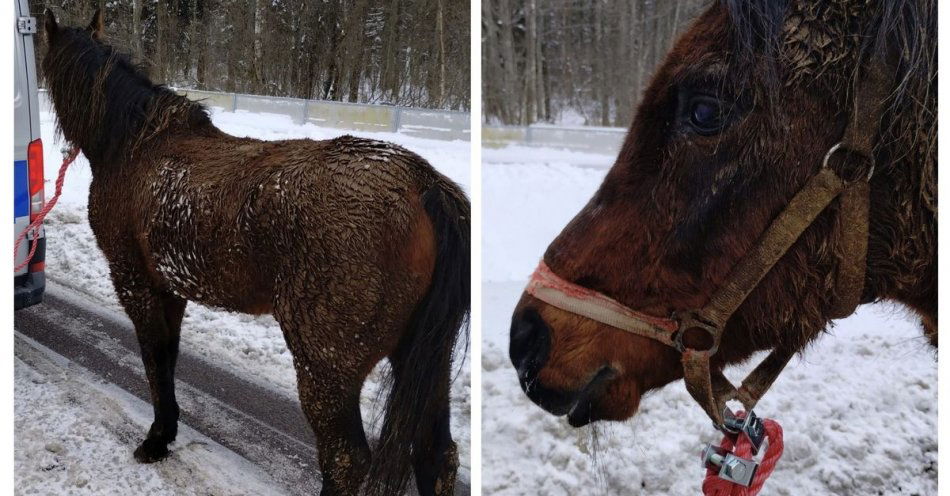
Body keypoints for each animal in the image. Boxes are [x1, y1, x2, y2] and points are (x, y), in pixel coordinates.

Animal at [42, 10, 470, 496]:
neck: (136, 146)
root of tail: (422, 183)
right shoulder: (171, 290)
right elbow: (168, 358)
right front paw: (167, 431)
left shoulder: (135, 282)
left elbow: (153, 360)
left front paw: (155, 440)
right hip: (425, 362)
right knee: (438, 456)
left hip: (327, 369)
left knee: (346, 461)